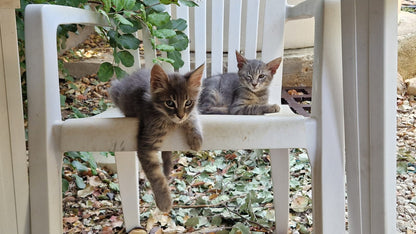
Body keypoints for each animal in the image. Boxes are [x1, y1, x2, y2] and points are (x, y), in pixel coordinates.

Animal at [108, 64, 204, 212]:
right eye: (170, 103)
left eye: (188, 102)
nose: (180, 115)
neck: (170, 122)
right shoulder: (146, 143)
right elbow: (156, 176)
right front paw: (164, 201)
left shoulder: (190, 113)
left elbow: (193, 116)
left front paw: (196, 140)